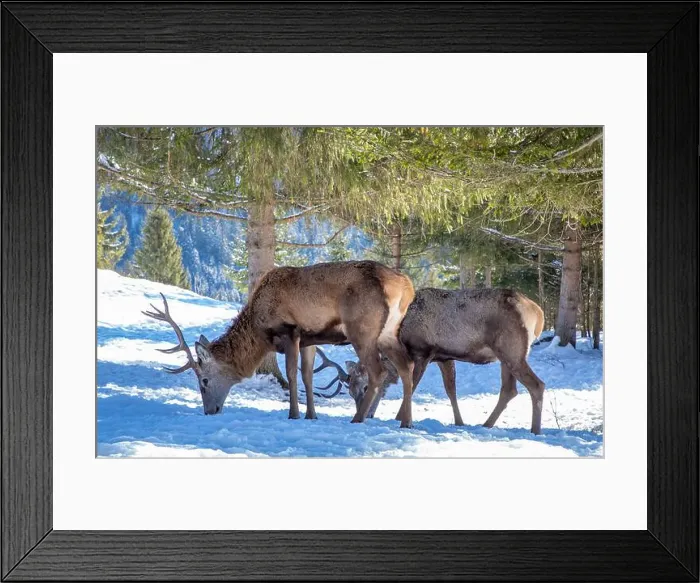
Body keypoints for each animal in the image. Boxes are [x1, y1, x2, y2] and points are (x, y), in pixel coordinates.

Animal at [143, 260, 418, 427]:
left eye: (204, 381)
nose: (210, 411)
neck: (258, 328)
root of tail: (406, 286)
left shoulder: (289, 330)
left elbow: (292, 374)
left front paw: (293, 414)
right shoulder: (309, 339)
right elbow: (307, 376)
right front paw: (311, 415)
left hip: (363, 329)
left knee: (379, 372)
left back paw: (358, 418)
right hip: (389, 332)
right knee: (408, 368)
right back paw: (406, 422)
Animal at [321, 287, 546, 434]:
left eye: (366, 386)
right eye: (350, 392)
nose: (364, 413)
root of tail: (539, 313)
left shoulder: (422, 351)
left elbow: (411, 385)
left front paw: (400, 418)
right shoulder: (443, 357)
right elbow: (450, 390)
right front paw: (459, 422)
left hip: (512, 350)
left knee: (537, 385)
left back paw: (535, 430)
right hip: (505, 356)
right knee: (509, 390)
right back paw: (486, 424)